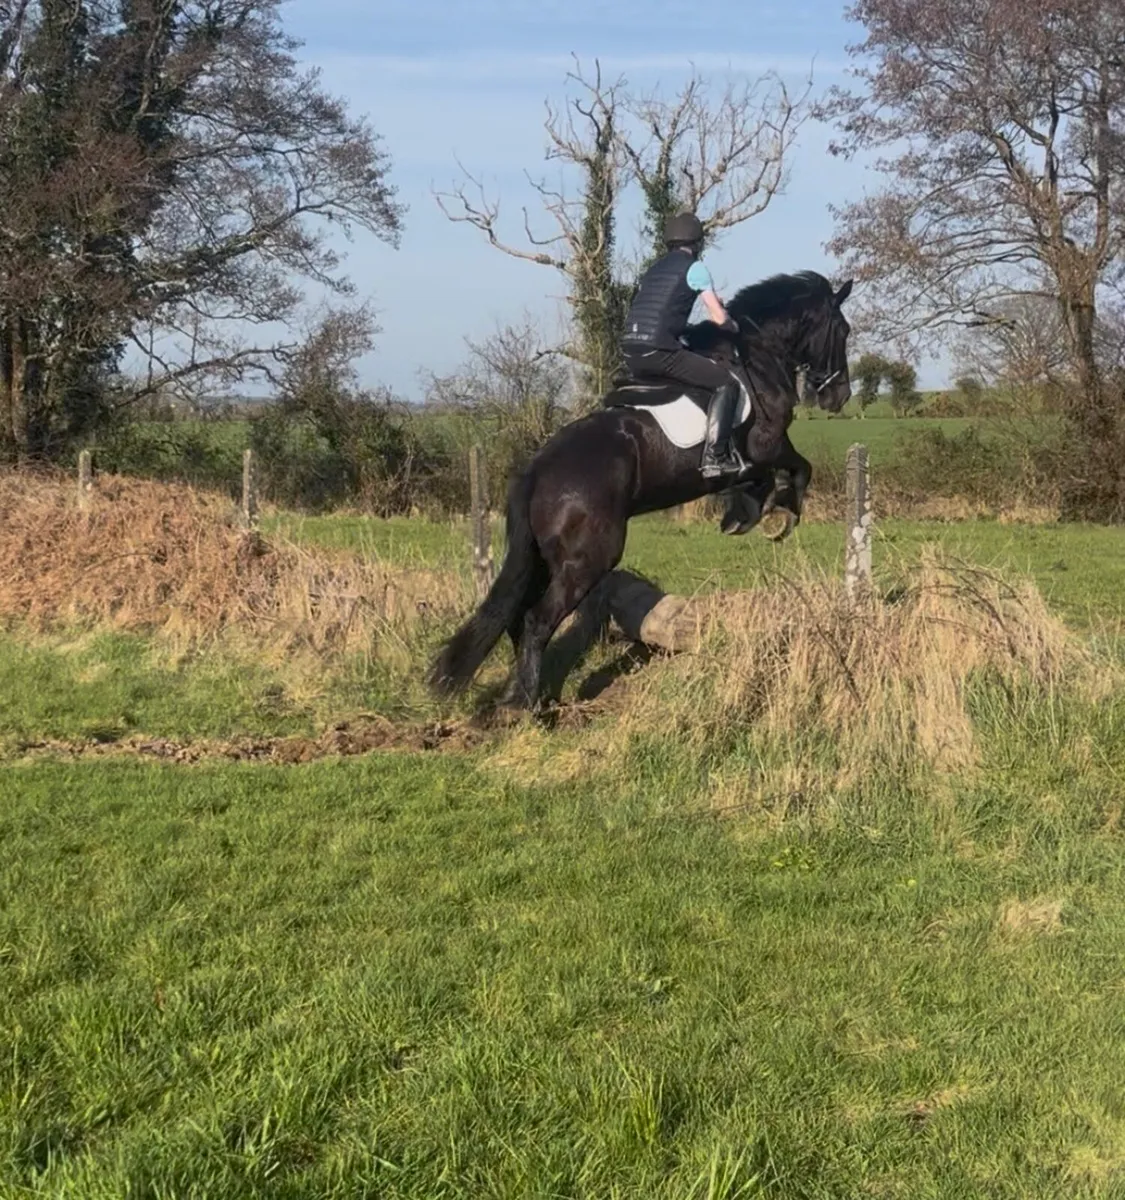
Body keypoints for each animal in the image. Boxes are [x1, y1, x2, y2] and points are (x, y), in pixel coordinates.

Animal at [429, 270, 854, 711]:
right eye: (843, 330)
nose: (839, 396)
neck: (757, 355)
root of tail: (537, 471)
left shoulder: (757, 458)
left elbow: (765, 479)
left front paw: (744, 515)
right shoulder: (767, 446)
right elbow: (800, 469)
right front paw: (779, 516)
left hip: (542, 558)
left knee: (517, 617)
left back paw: (531, 695)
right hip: (587, 559)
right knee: (536, 620)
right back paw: (522, 705)